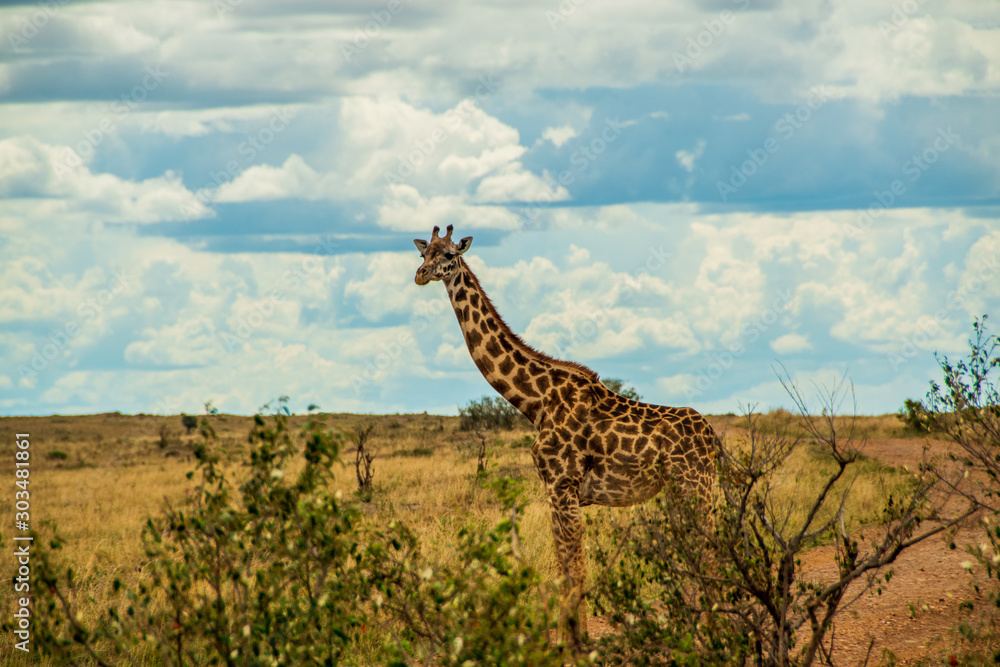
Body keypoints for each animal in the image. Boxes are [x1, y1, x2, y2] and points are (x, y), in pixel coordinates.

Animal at [413, 224, 718, 651]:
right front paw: (574, 637)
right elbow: (566, 561)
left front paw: (574, 642)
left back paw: (712, 634)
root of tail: (713, 438)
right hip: (681, 492)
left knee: (710, 551)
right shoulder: (558, 489)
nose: (421, 274)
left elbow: (571, 561)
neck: (535, 400)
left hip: (696, 488)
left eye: (449, 255)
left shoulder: (562, 485)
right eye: (424, 252)